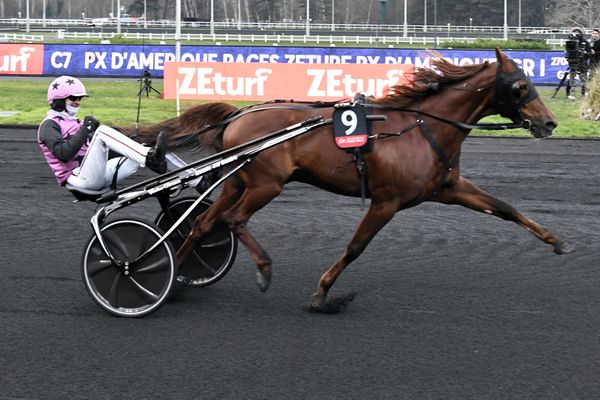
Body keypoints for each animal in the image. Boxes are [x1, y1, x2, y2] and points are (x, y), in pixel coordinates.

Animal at [134, 48, 576, 312]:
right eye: (520, 86)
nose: (549, 122)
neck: (421, 128)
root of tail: (241, 114)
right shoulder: (386, 201)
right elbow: (356, 246)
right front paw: (323, 294)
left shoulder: (448, 189)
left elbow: (505, 209)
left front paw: (557, 241)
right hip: (265, 184)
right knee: (233, 220)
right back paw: (260, 268)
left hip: (238, 182)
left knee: (205, 223)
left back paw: (171, 277)